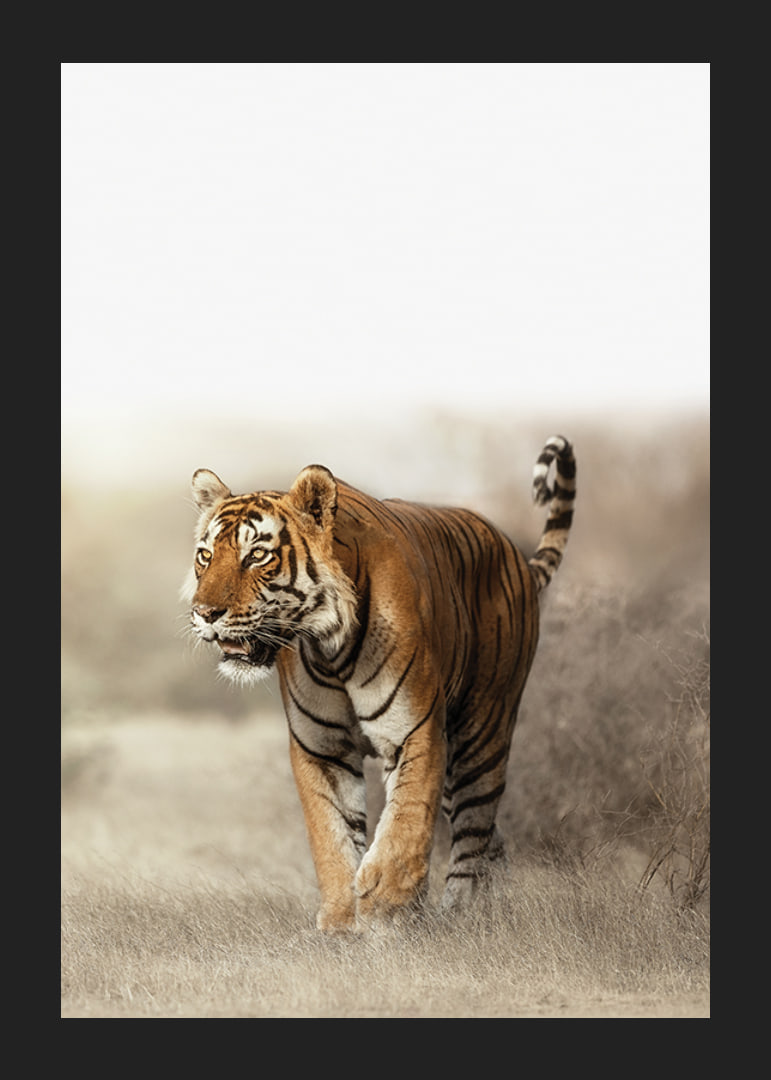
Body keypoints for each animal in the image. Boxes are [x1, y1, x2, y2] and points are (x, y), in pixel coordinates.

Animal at [182, 435, 576, 932]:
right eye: (206, 555)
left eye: (257, 555)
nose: (204, 613)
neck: (328, 646)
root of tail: (517, 558)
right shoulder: (321, 747)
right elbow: (331, 835)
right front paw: (340, 920)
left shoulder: (415, 731)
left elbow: (405, 822)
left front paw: (384, 904)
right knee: (491, 837)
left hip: (481, 734)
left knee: (473, 831)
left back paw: (460, 913)